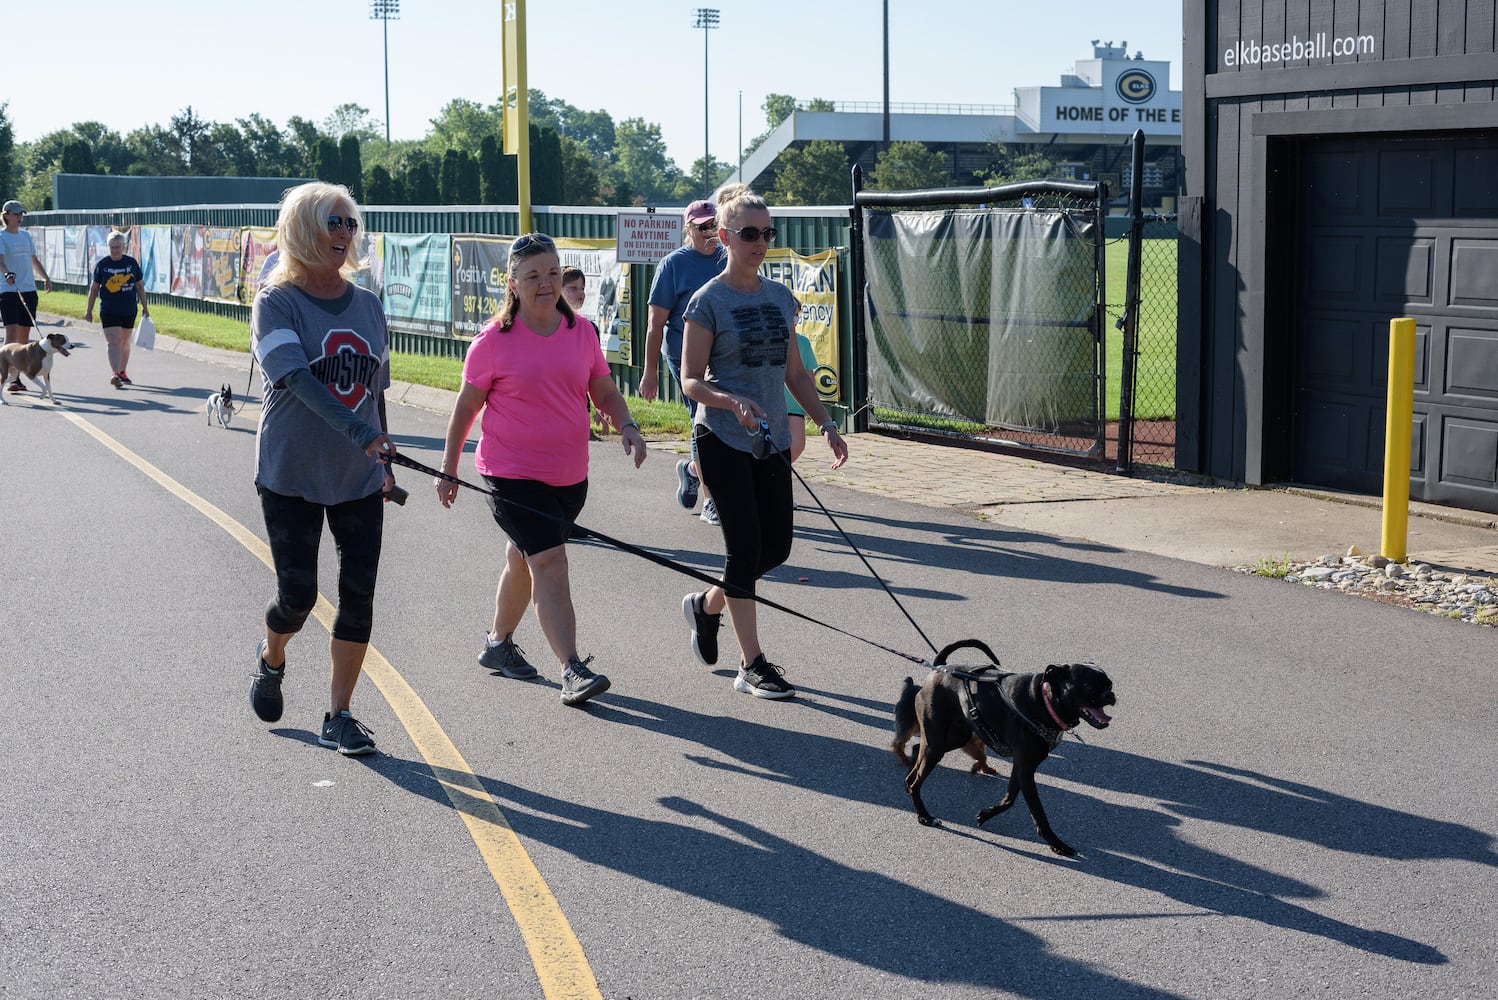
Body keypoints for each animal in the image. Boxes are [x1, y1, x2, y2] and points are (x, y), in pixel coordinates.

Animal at [892, 637, 1120, 856]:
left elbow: (1009, 798)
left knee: (916, 756)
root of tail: (939, 668)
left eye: (1109, 684)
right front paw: (1057, 844)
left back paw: (910, 784)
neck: (1044, 702)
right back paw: (924, 816)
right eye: (1090, 686)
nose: (1111, 695)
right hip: (939, 743)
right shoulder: (1026, 769)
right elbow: (1038, 813)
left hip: (955, 737)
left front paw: (986, 814)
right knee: (916, 780)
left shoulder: (1021, 766)